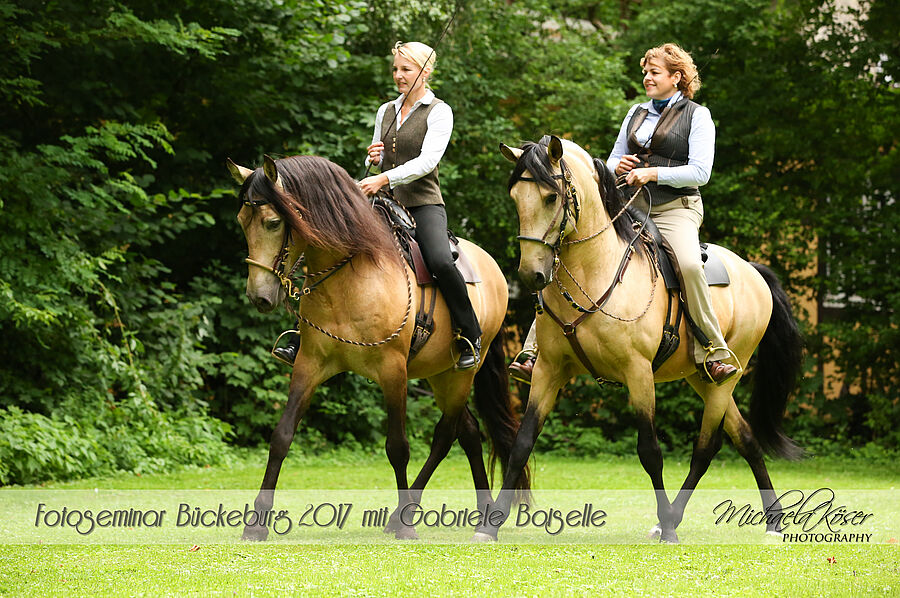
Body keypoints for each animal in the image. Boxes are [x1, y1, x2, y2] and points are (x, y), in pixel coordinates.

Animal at [229, 152, 532, 540]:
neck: (350, 274)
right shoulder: (309, 365)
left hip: (461, 375)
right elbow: (282, 436)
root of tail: (491, 267)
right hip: (440, 376)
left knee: (446, 434)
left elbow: (398, 447)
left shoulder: (393, 373)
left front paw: (405, 526)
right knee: (468, 432)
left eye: (271, 223)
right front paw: (256, 523)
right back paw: (481, 510)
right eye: (242, 221)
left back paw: (418, 513)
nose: (259, 296)